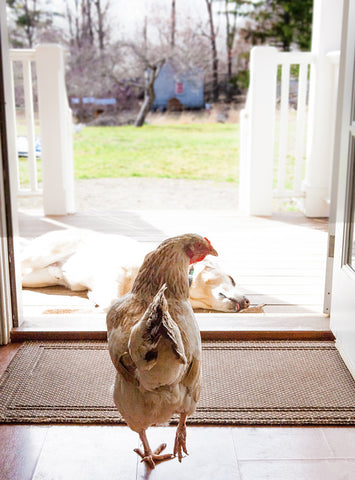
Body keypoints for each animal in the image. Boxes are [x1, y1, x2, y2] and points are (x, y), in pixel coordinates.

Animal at [21, 228, 250, 312]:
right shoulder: (114, 271)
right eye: (231, 279)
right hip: (41, 255)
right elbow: (113, 299)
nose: (248, 302)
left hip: (42, 276)